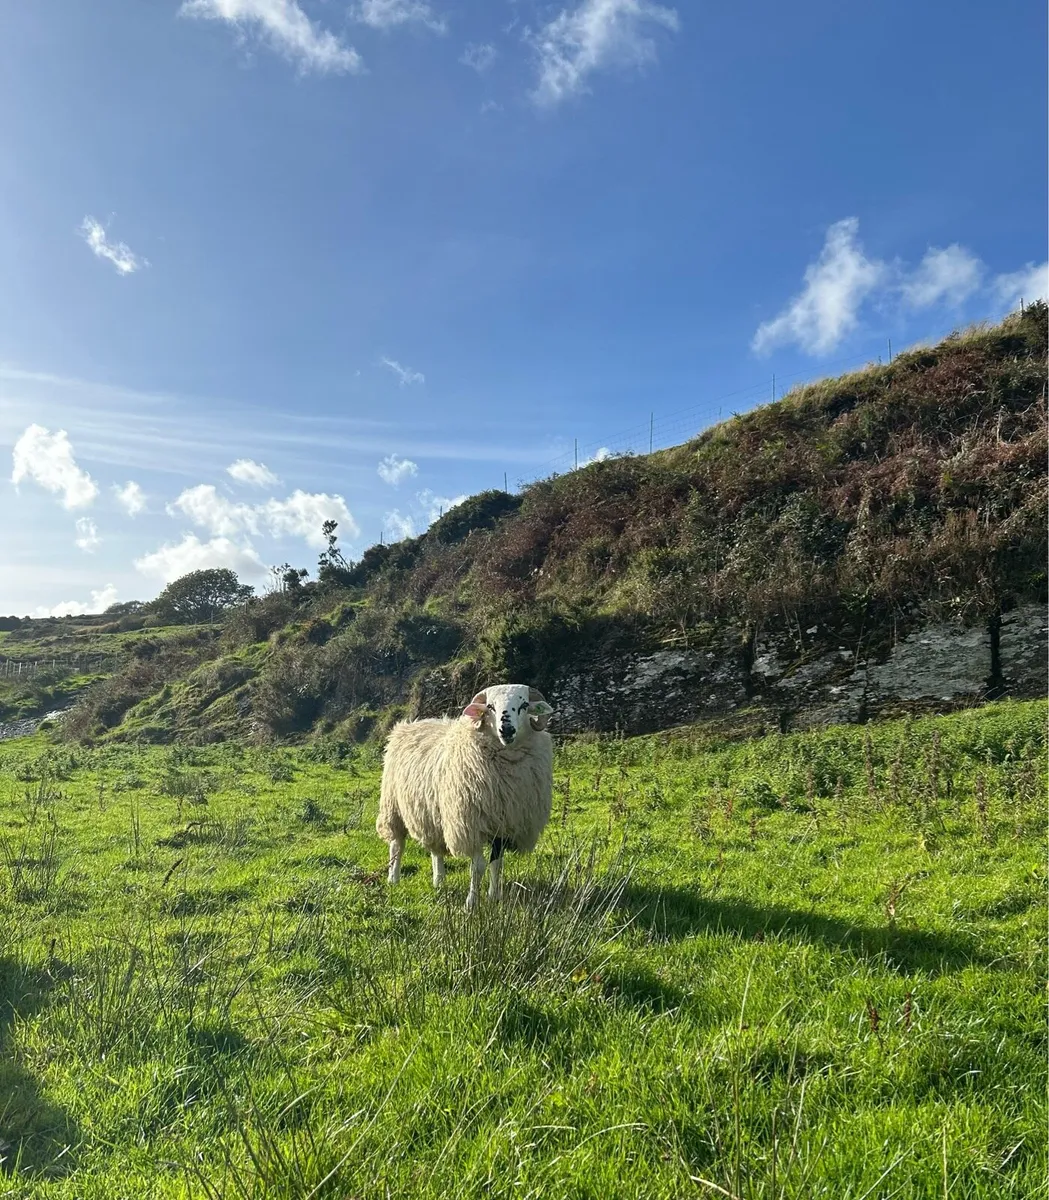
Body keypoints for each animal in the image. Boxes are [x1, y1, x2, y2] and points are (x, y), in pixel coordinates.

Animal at [376, 683, 555, 910]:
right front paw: (472, 903)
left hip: (434, 812)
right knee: (397, 845)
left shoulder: (504, 825)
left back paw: (439, 881)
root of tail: (408, 725)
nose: (506, 729)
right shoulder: (471, 824)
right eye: (490, 706)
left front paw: (494, 897)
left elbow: (497, 864)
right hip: (393, 806)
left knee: (436, 849)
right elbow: (477, 867)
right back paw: (394, 879)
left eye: (524, 705)